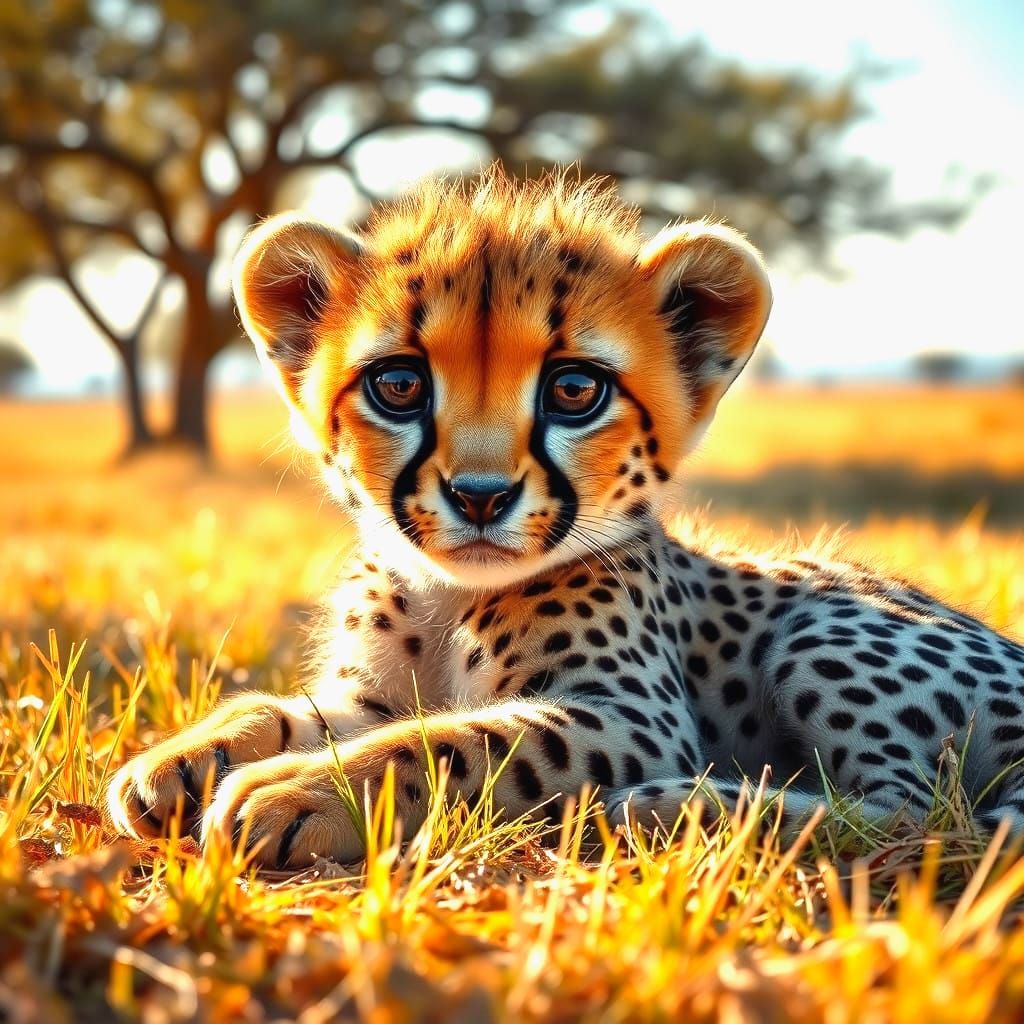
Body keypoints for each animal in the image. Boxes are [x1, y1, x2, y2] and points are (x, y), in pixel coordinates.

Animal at [107, 169, 1024, 869]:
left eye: (575, 390)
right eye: (398, 385)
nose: (479, 495)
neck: (445, 597)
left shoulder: (635, 717)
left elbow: (454, 744)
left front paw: (295, 791)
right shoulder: (371, 694)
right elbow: (294, 712)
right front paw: (179, 760)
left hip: (825, 632)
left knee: (917, 813)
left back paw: (669, 808)